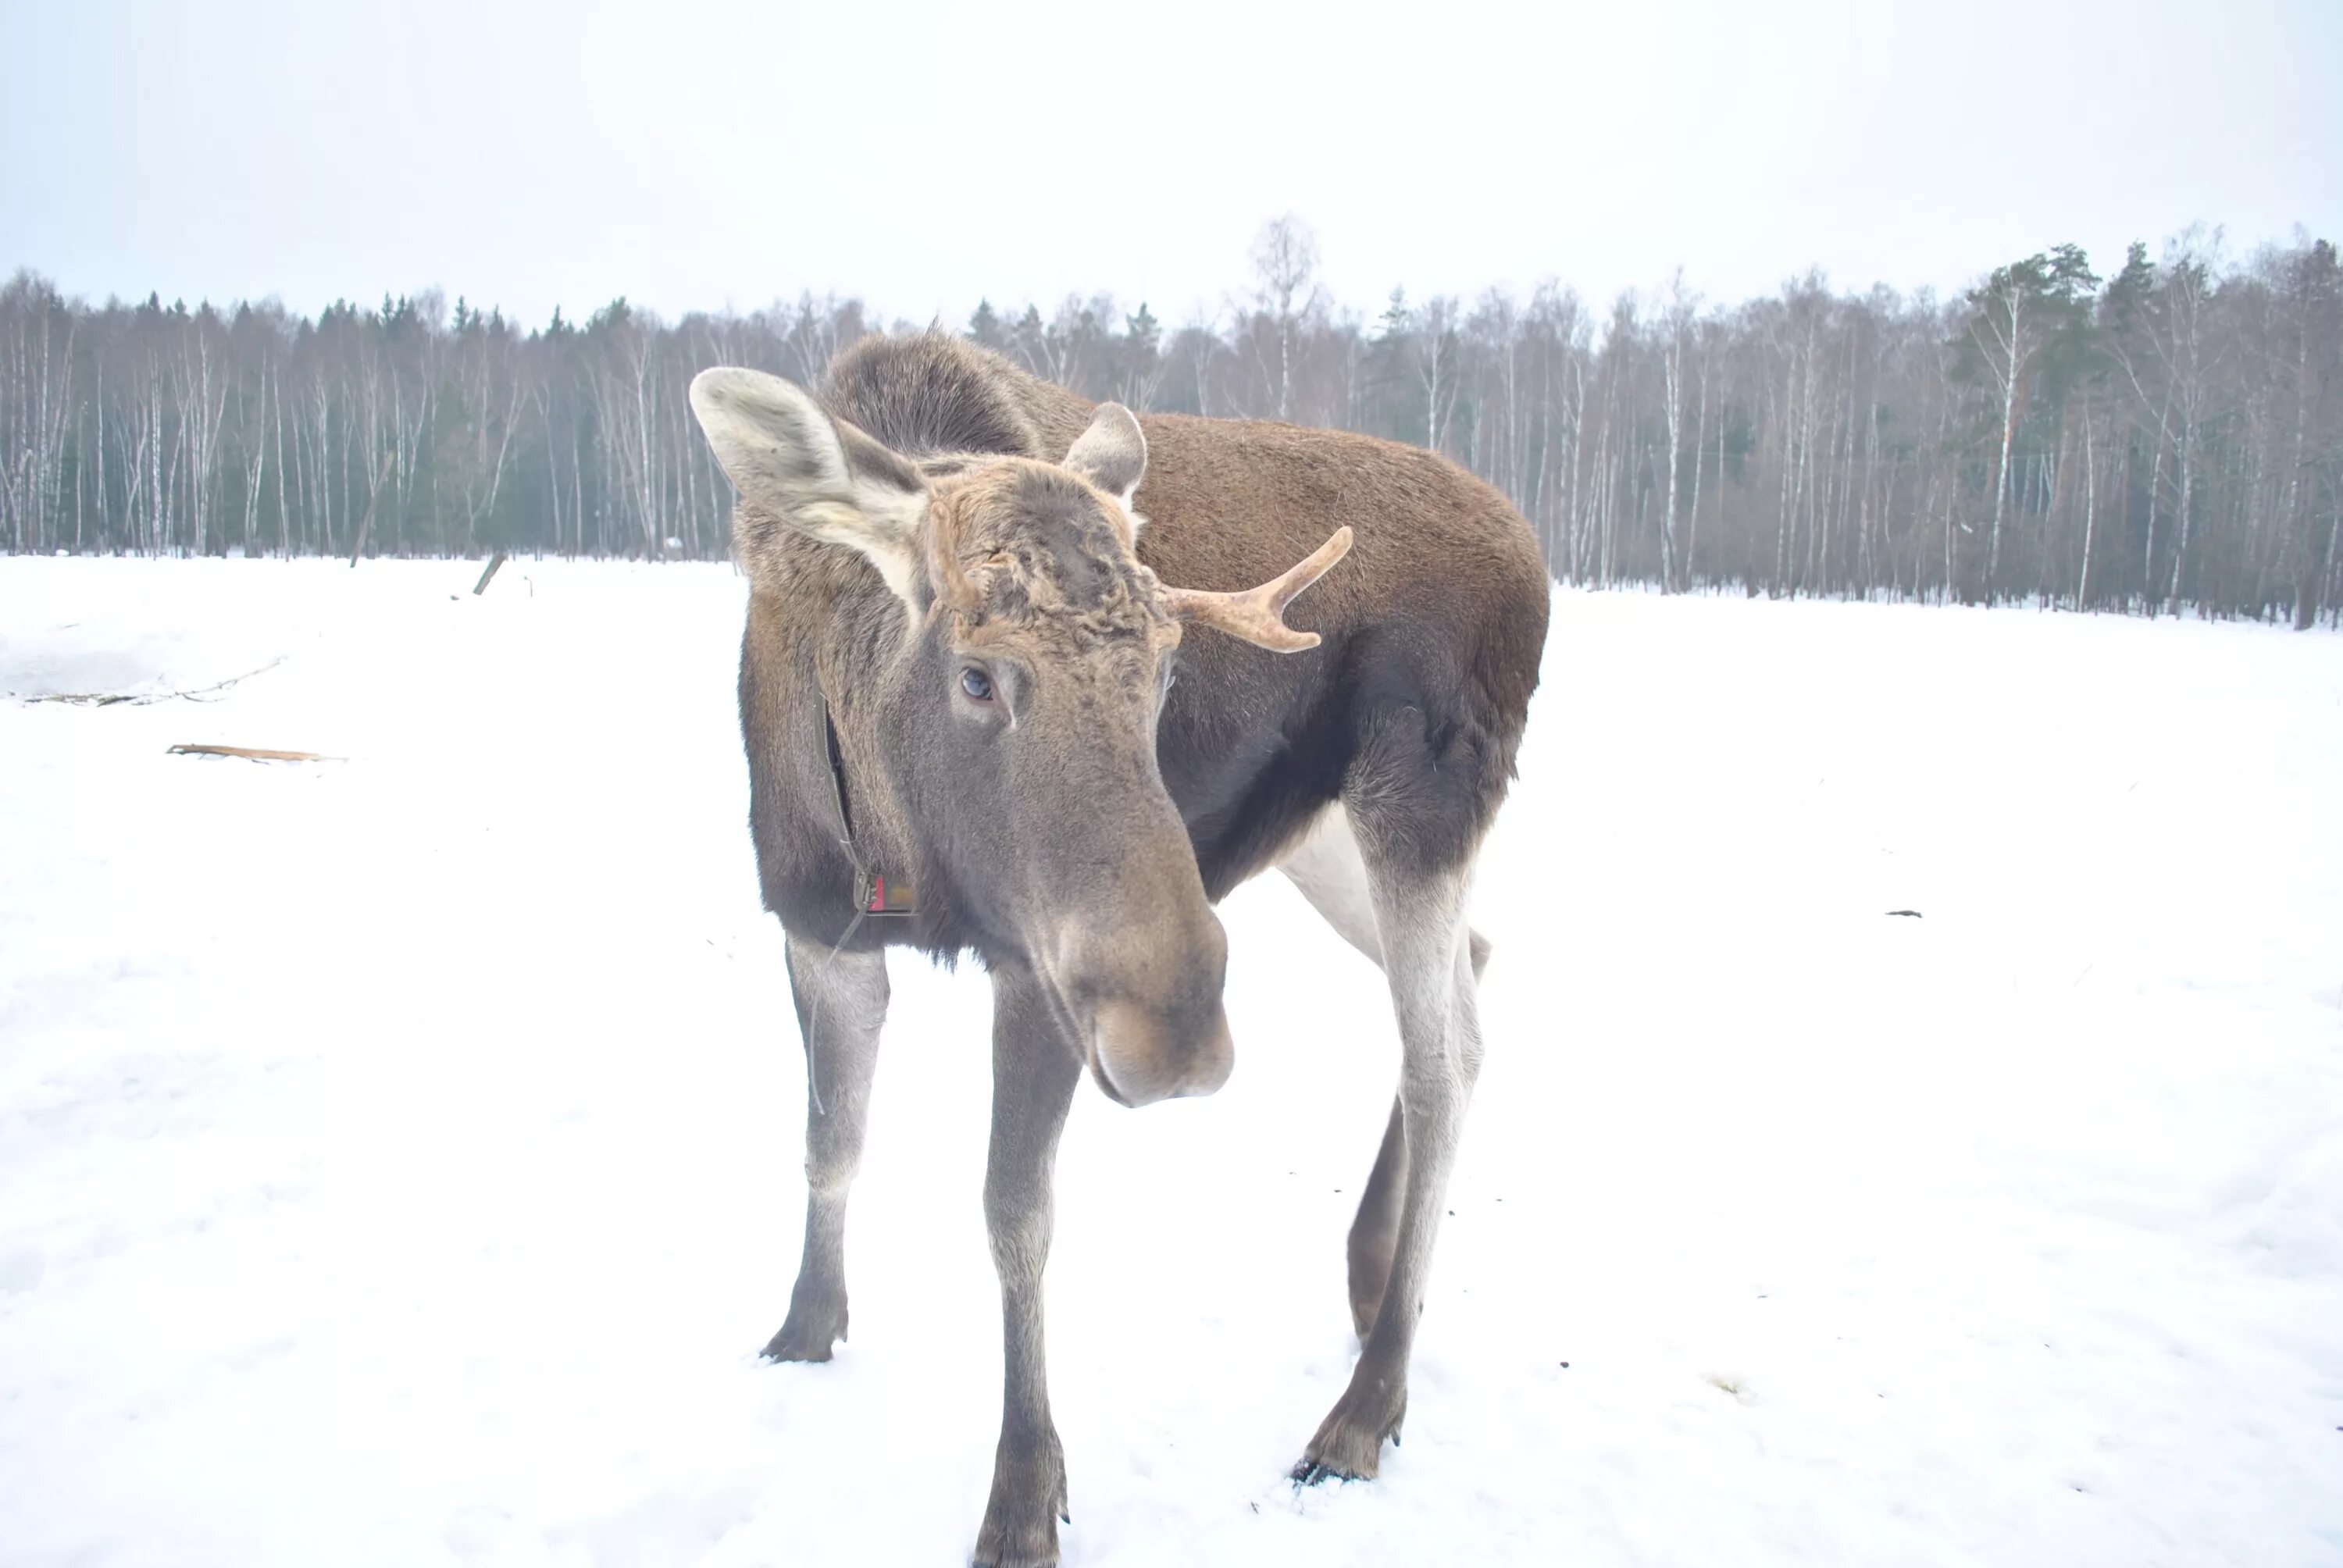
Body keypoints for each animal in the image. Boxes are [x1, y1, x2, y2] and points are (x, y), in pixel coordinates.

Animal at [684, 333, 1546, 1565]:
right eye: (977, 674)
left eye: (1168, 672)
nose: (1178, 1037)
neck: (890, 839)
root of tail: (1537, 554)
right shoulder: (816, 926)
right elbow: (828, 1143)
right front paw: (804, 1331)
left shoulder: (1035, 965)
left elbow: (1014, 1214)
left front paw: (1024, 1496)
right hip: (1326, 835)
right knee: (1472, 964)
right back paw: (1369, 1282)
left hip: (1421, 797)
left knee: (1446, 1058)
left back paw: (1362, 1410)